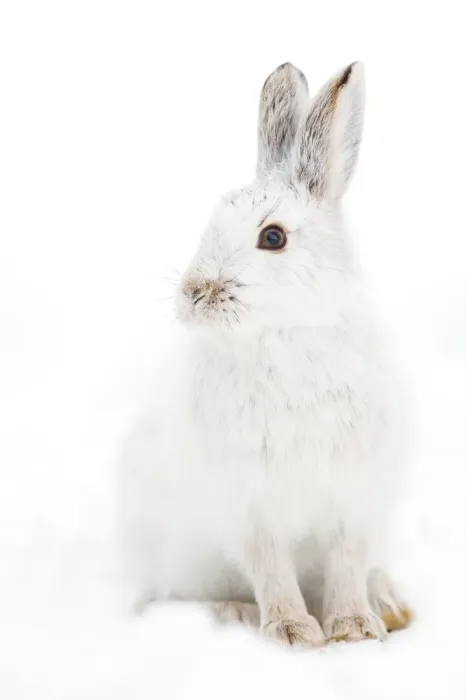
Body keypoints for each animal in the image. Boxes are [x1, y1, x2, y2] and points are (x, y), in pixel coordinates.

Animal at [117, 61, 413, 648]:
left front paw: (354, 628)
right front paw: (293, 631)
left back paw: (389, 603)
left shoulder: (354, 500)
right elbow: (271, 569)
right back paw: (234, 614)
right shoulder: (251, 508)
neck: (285, 334)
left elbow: (347, 563)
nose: (194, 292)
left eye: (272, 237)